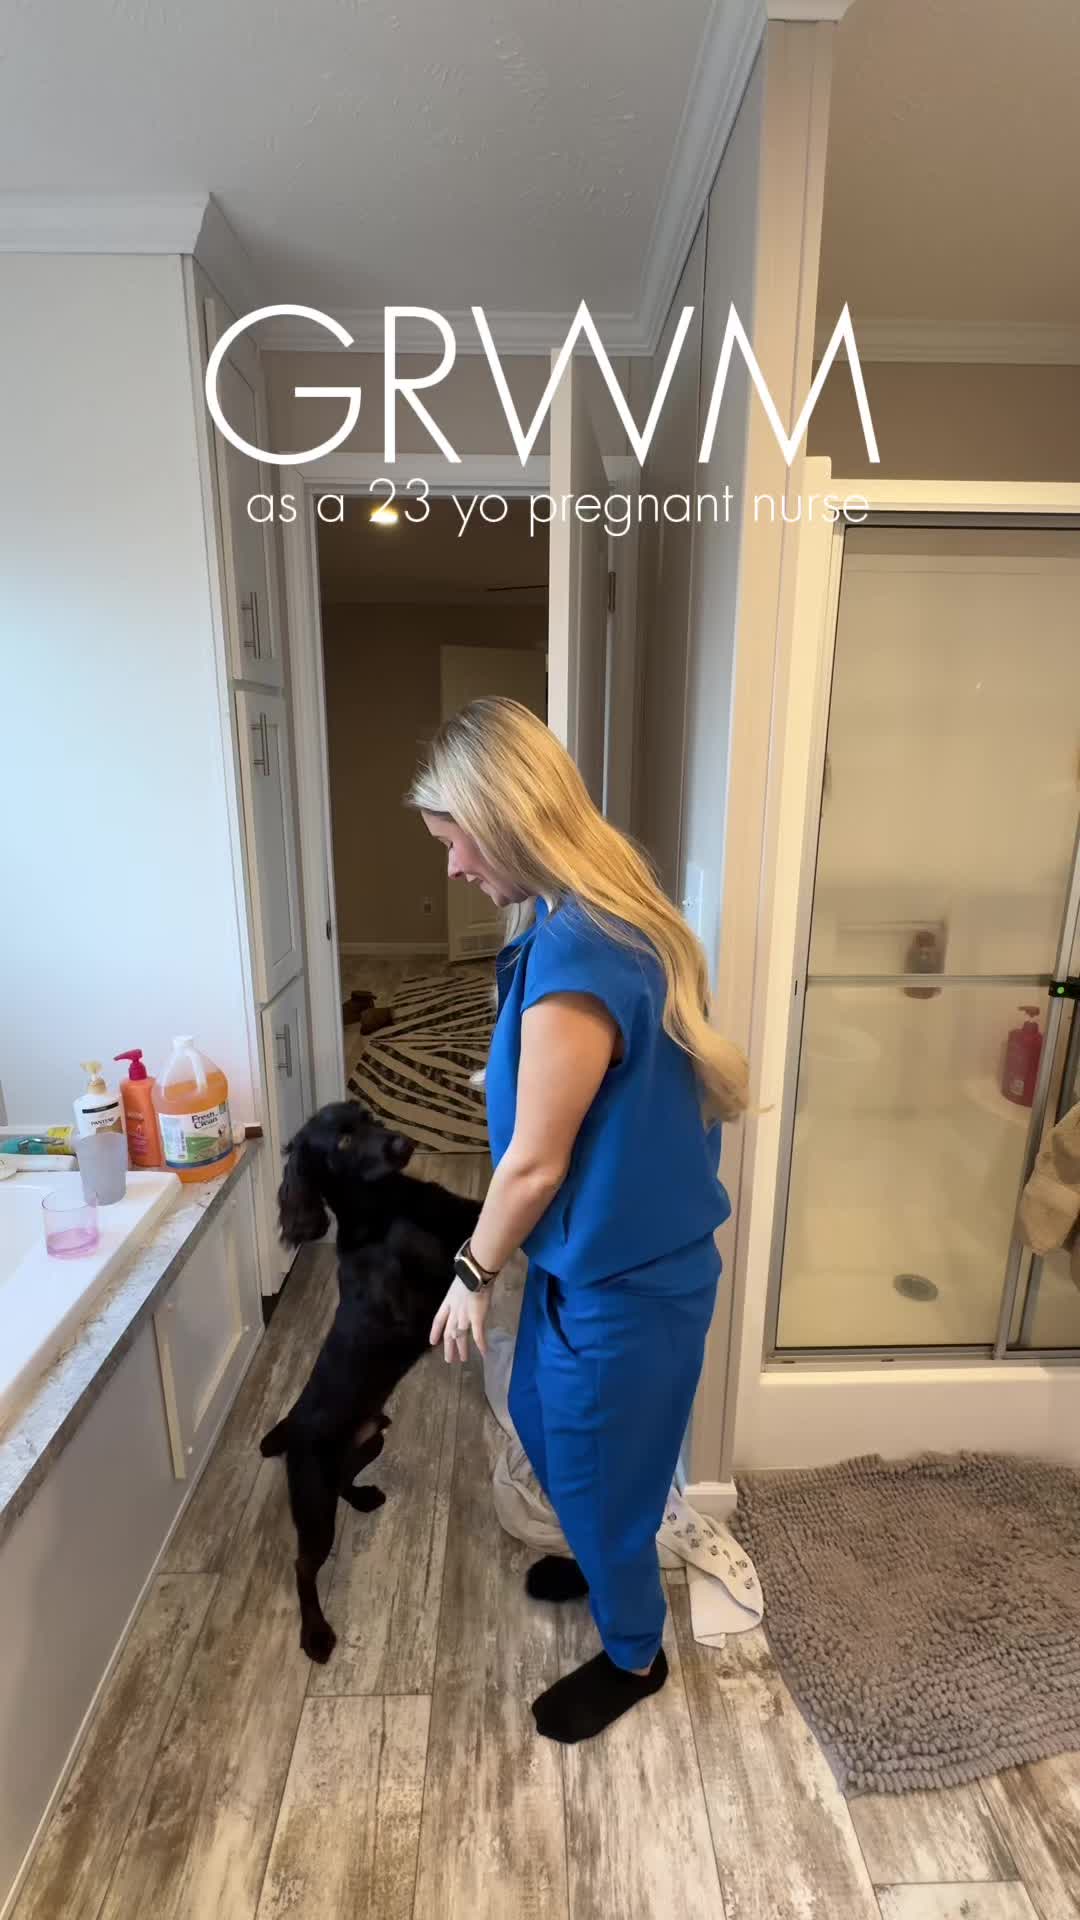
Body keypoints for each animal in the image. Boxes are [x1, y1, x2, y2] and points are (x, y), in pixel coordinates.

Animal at [260, 1102, 481, 1662]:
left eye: (370, 1117)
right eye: (340, 1141)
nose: (403, 1143)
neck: (384, 1205)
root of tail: (292, 1427)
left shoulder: (466, 1215)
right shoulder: (429, 1291)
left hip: (372, 1439)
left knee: (345, 1480)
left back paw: (361, 1497)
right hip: (313, 1505)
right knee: (302, 1565)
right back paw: (315, 1633)